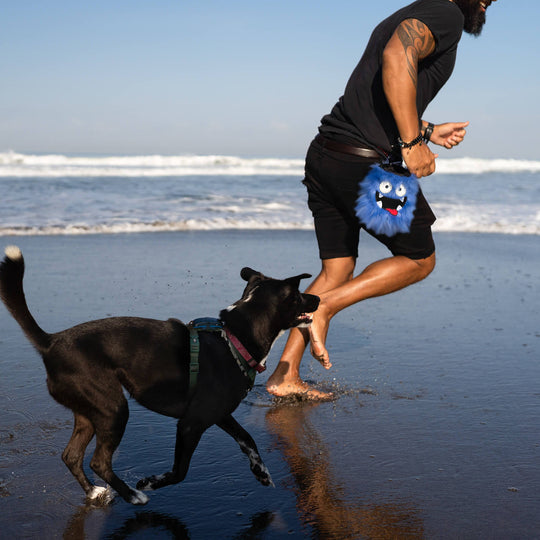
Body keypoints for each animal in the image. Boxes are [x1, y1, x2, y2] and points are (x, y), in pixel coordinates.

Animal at [0, 247, 318, 504]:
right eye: (299, 295)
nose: (316, 297)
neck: (233, 338)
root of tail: (51, 342)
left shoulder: (217, 414)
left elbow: (247, 438)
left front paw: (260, 471)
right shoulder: (191, 424)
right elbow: (180, 471)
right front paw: (150, 482)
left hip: (89, 412)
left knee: (72, 456)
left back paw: (93, 491)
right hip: (113, 409)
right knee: (98, 461)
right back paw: (133, 495)